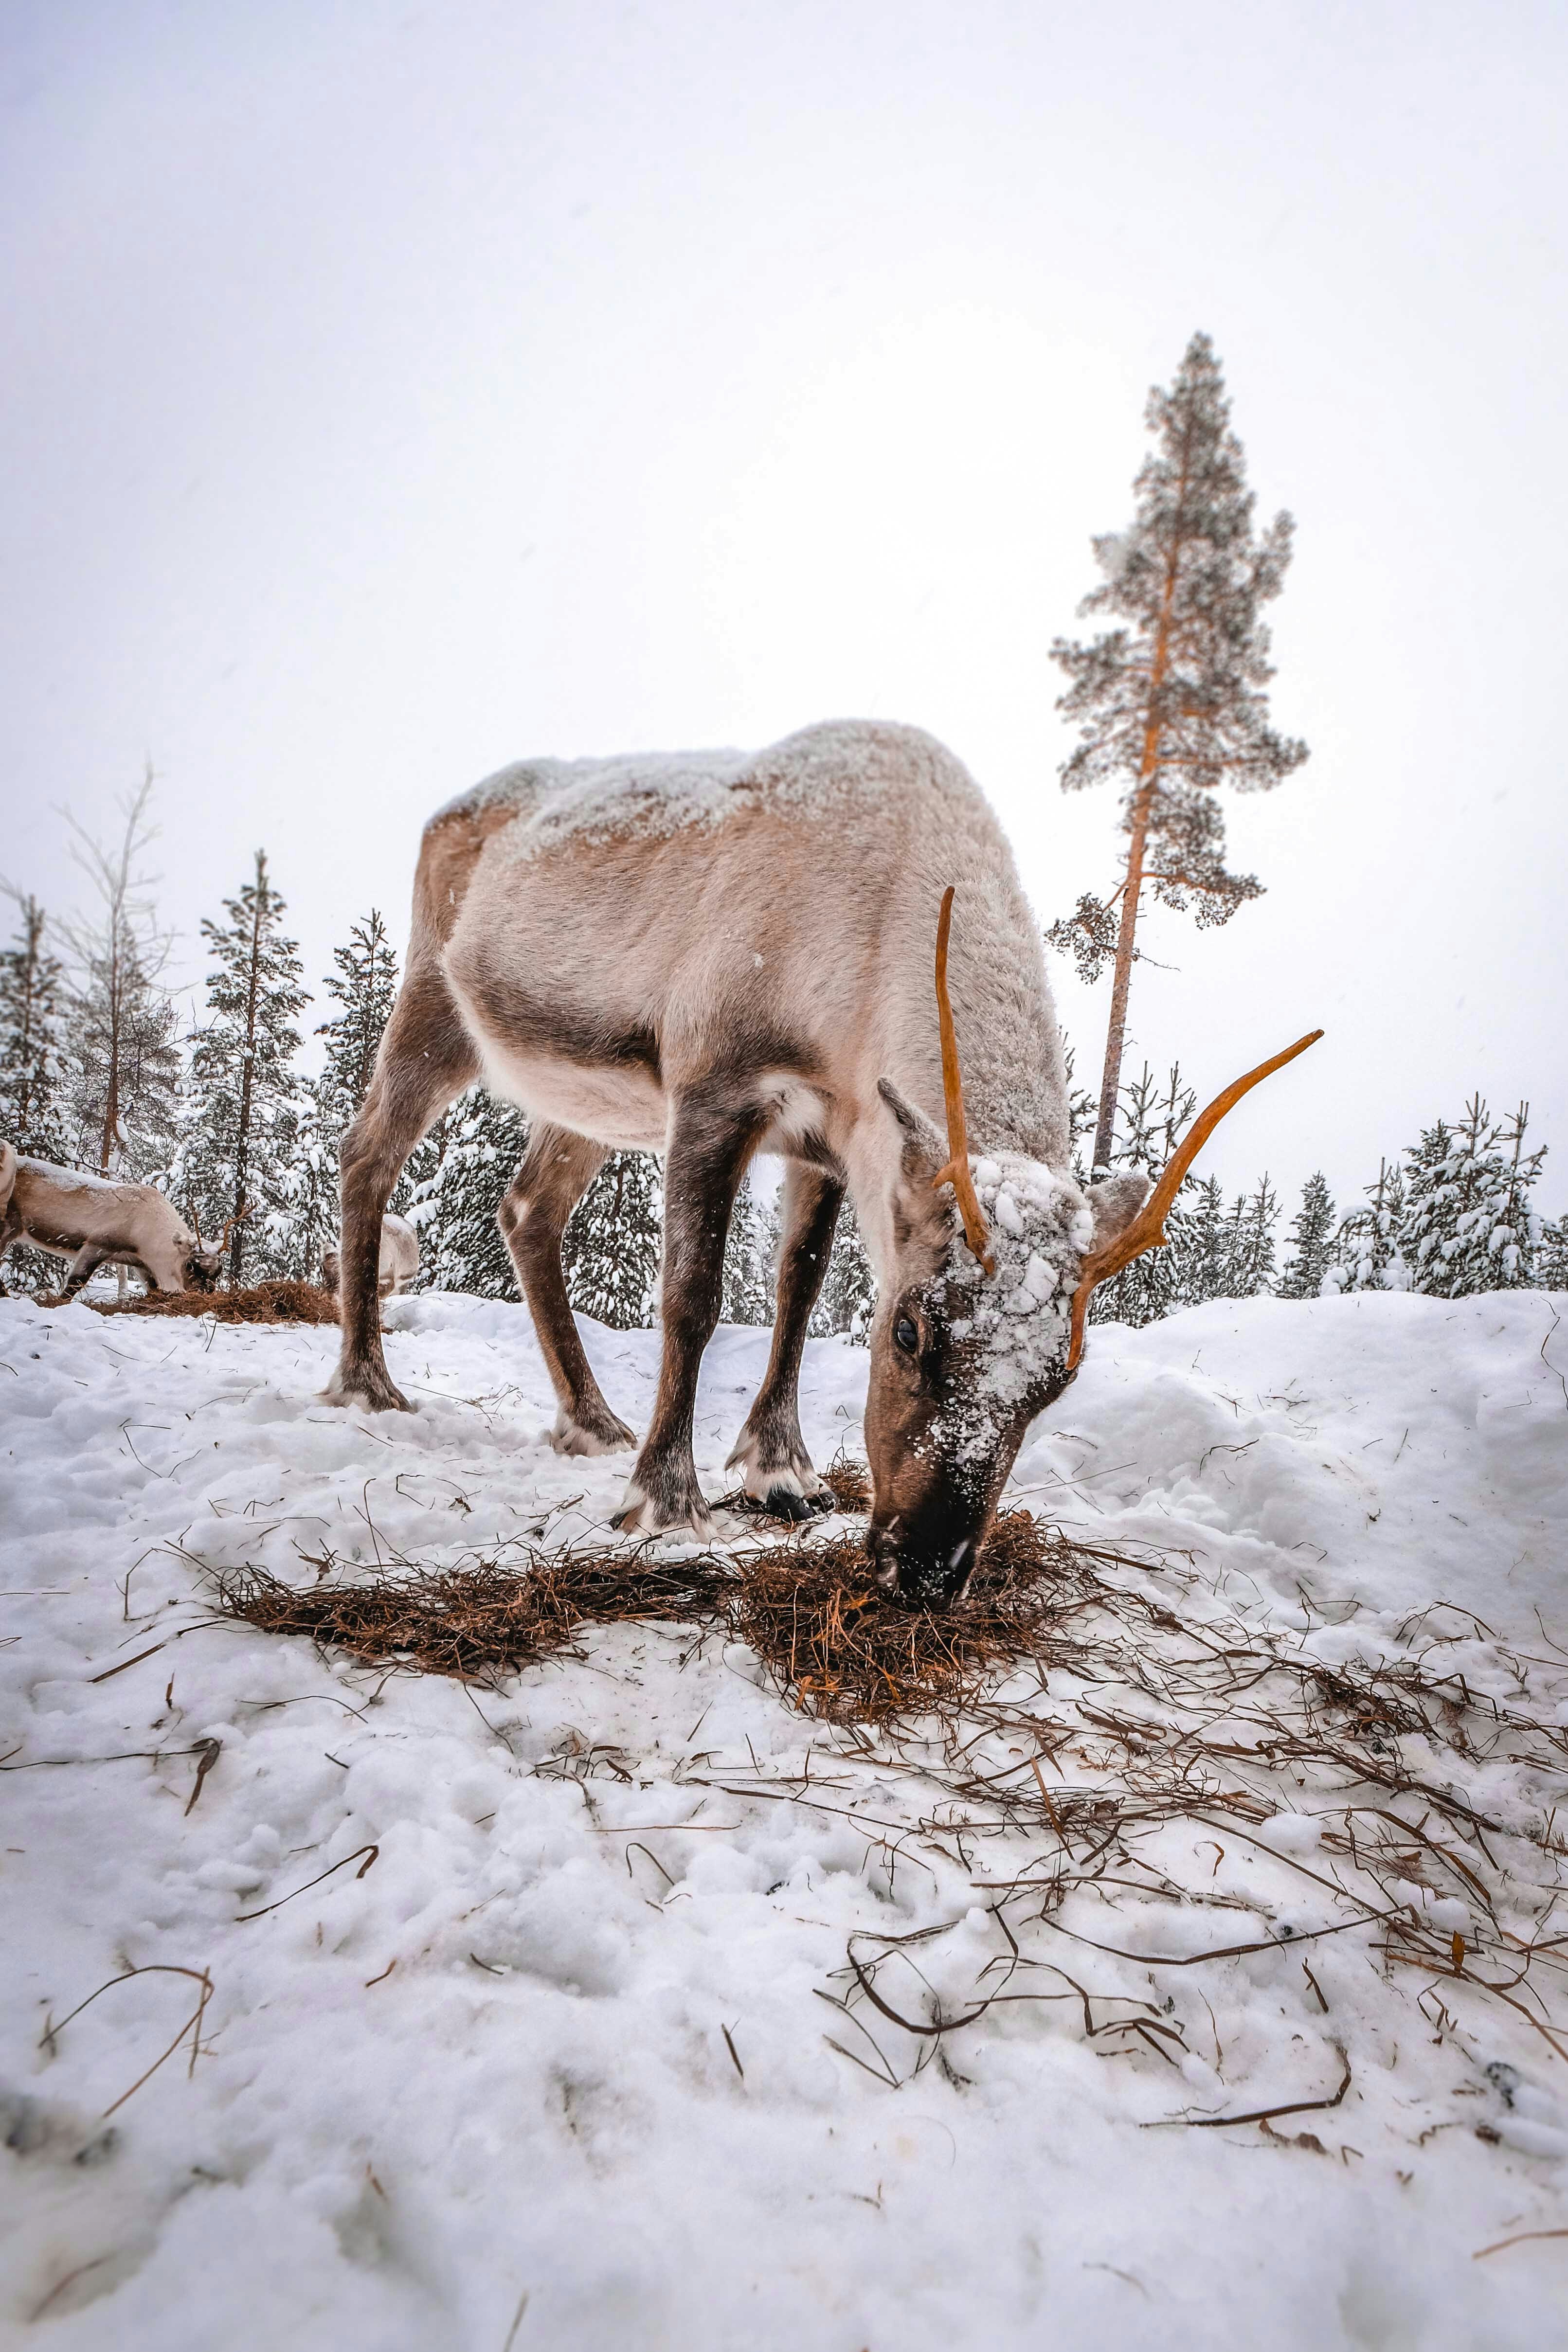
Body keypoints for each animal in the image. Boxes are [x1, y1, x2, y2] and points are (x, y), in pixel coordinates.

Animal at [0, 1144, 235, 1298]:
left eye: (218, 1271)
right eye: (190, 1265)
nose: (205, 1293)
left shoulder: (139, 1263)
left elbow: (152, 1288)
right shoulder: (97, 1244)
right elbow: (75, 1282)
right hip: (10, 1226)